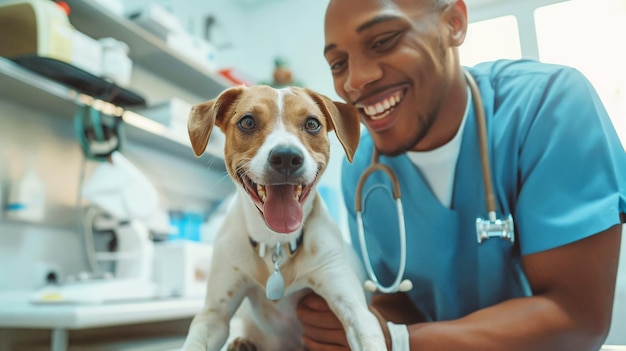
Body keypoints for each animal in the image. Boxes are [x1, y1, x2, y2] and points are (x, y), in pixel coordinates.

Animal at [180, 86, 386, 351]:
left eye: (312, 124)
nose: (287, 157)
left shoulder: (356, 310)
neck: (275, 242)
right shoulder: (214, 315)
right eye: (247, 121)